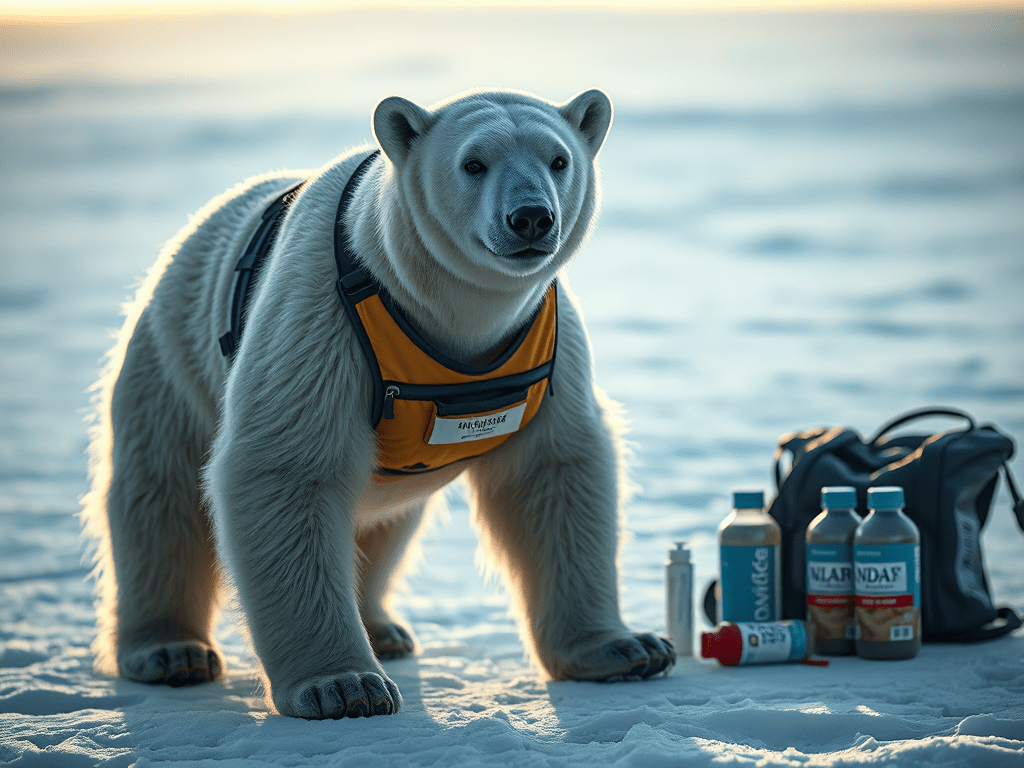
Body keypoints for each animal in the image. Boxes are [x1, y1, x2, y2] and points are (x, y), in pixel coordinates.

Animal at [81, 88, 675, 719]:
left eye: (558, 159)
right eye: (473, 163)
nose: (531, 217)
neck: (449, 318)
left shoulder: (546, 349)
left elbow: (554, 477)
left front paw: (629, 648)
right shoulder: (322, 322)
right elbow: (286, 467)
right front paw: (343, 687)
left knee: (385, 523)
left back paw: (383, 628)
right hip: (169, 358)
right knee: (161, 502)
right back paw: (169, 651)